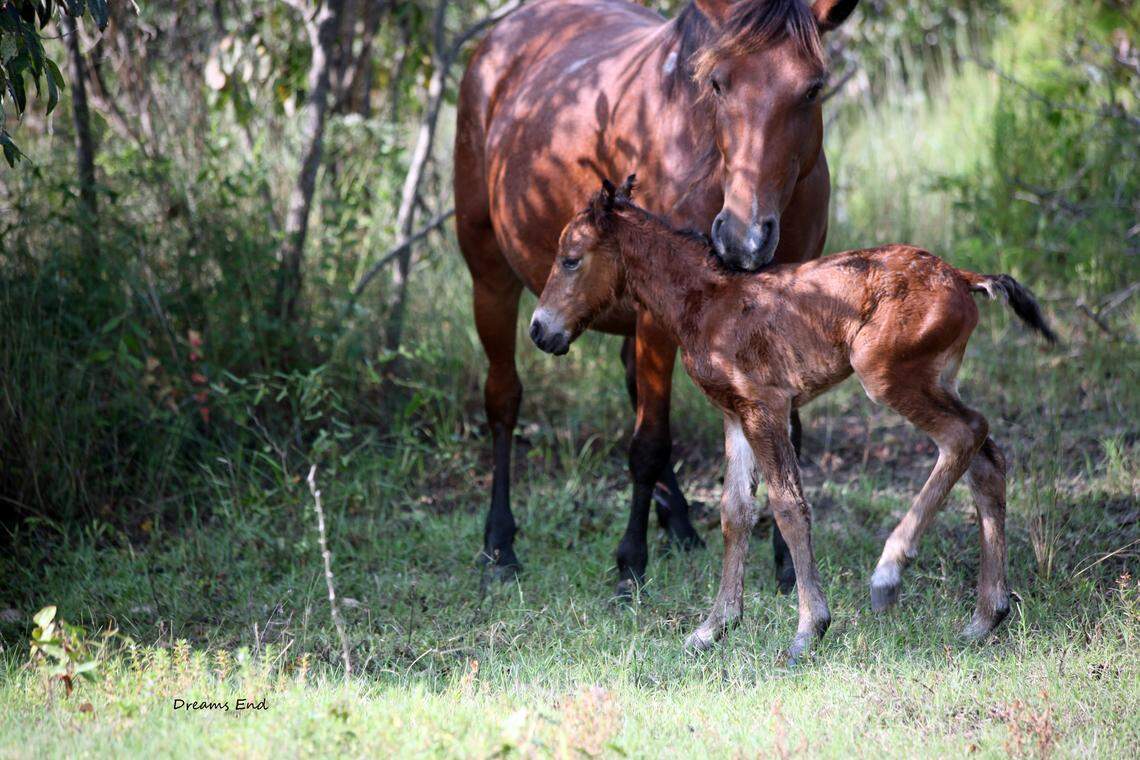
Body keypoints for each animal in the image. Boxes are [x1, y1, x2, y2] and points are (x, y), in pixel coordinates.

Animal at [454, 0, 860, 595]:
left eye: (812, 88)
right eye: (717, 83)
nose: (744, 238)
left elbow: (788, 438)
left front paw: (787, 565)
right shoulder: (654, 317)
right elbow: (647, 443)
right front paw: (630, 562)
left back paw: (681, 525)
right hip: (490, 276)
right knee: (503, 399)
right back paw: (500, 543)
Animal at [530, 177, 1055, 658]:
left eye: (570, 258)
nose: (539, 330)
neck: (707, 301)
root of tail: (962, 276)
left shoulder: (766, 407)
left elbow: (788, 507)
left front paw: (809, 628)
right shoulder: (734, 414)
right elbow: (735, 513)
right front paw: (714, 627)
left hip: (885, 374)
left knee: (964, 434)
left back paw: (888, 574)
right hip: (938, 379)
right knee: (987, 459)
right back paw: (986, 617)